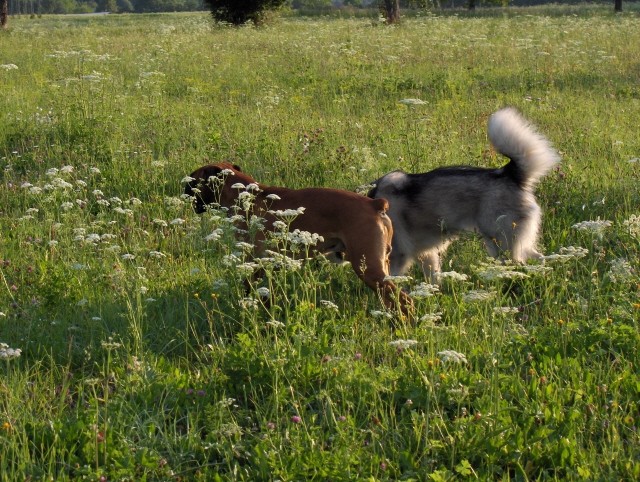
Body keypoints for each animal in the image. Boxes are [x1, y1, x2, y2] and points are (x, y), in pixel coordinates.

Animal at [184, 161, 416, 316]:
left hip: (368, 268)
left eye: (192, 181)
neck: (249, 196)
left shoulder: (256, 263)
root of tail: (375, 204)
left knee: (404, 300)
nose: (183, 191)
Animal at [368, 105, 556, 278]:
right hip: (511, 245)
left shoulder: (397, 257)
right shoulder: (427, 255)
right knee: (540, 258)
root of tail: (508, 174)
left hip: (502, 248)